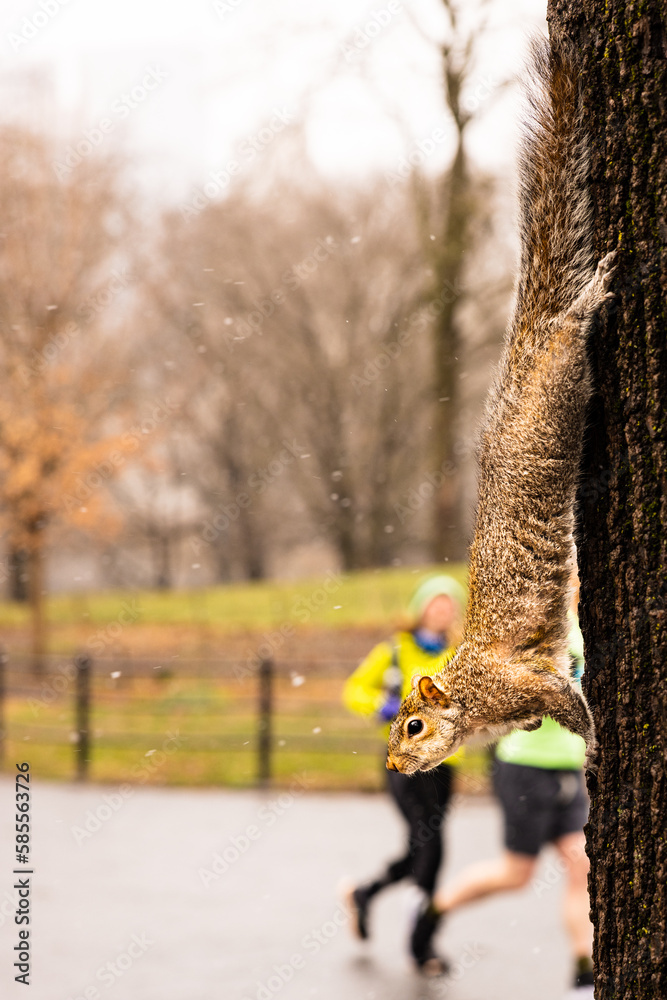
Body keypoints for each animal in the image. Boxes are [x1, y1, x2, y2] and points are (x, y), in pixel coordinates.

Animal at [387, 40, 617, 777]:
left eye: (414, 726)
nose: (393, 768)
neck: (471, 700)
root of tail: (519, 351)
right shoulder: (522, 701)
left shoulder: (522, 682)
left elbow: (570, 704)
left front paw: (594, 750)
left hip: (556, 389)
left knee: (568, 333)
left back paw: (591, 295)